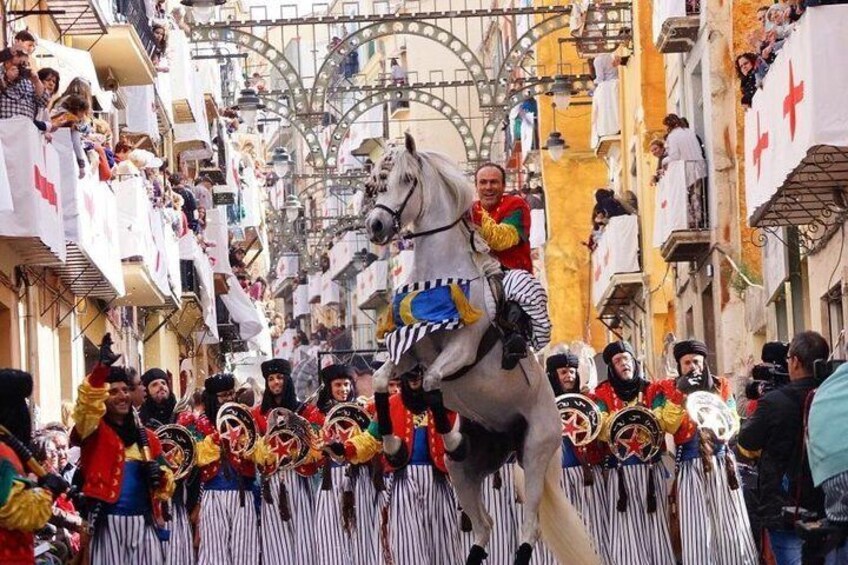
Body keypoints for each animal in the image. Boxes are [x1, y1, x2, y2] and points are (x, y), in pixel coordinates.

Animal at [362, 135, 596, 564]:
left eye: (407, 179)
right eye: (377, 182)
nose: (377, 225)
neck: (441, 280)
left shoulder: (462, 351)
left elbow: (433, 381)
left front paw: (452, 440)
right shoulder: (410, 352)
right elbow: (383, 379)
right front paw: (395, 446)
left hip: (535, 451)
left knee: (529, 525)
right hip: (468, 471)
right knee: (484, 526)